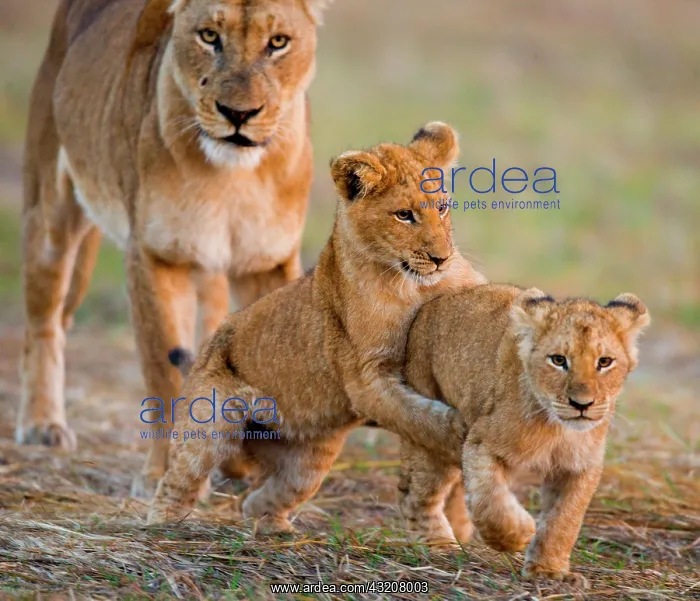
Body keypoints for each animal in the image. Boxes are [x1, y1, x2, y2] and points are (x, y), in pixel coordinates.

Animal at [17, 0, 333, 495]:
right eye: (209, 36)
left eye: (278, 42)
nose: (238, 114)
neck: (233, 178)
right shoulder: (154, 255)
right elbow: (164, 367)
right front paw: (165, 474)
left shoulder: (267, 262)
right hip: (49, 211)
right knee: (44, 323)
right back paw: (42, 425)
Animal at [147, 122, 487, 531]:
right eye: (404, 215)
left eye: (443, 207)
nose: (441, 258)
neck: (413, 284)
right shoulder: (367, 378)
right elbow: (417, 415)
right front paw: (459, 432)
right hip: (208, 429)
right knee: (177, 480)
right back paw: (160, 526)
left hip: (310, 461)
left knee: (259, 500)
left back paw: (279, 532)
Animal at [399, 284, 650, 585]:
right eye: (558, 360)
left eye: (604, 362)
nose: (582, 404)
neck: (557, 430)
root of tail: (437, 300)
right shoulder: (481, 441)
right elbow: (490, 503)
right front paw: (519, 535)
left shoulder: (580, 466)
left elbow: (564, 519)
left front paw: (548, 570)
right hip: (437, 430)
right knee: (416, 497)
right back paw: (438, 545)